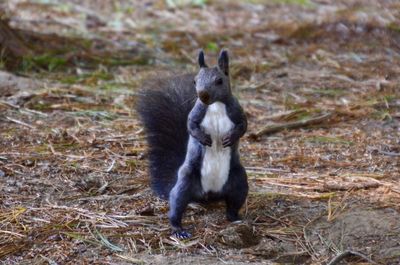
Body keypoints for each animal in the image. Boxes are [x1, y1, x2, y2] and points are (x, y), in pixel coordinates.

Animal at [139, 49, 248, 237]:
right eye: (195, 81)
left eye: (219, 81)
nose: (203, 95)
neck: (215, 105)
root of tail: (209, 194)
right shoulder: (196, 113)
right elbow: (190, 126)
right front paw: (203, 138)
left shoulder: (237, 110)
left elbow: (243, 125)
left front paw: (230, 138)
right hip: (185, 182)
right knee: (176, 204)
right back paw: (178, 229)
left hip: (239, 180)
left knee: (233, 204)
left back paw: (236, 218)